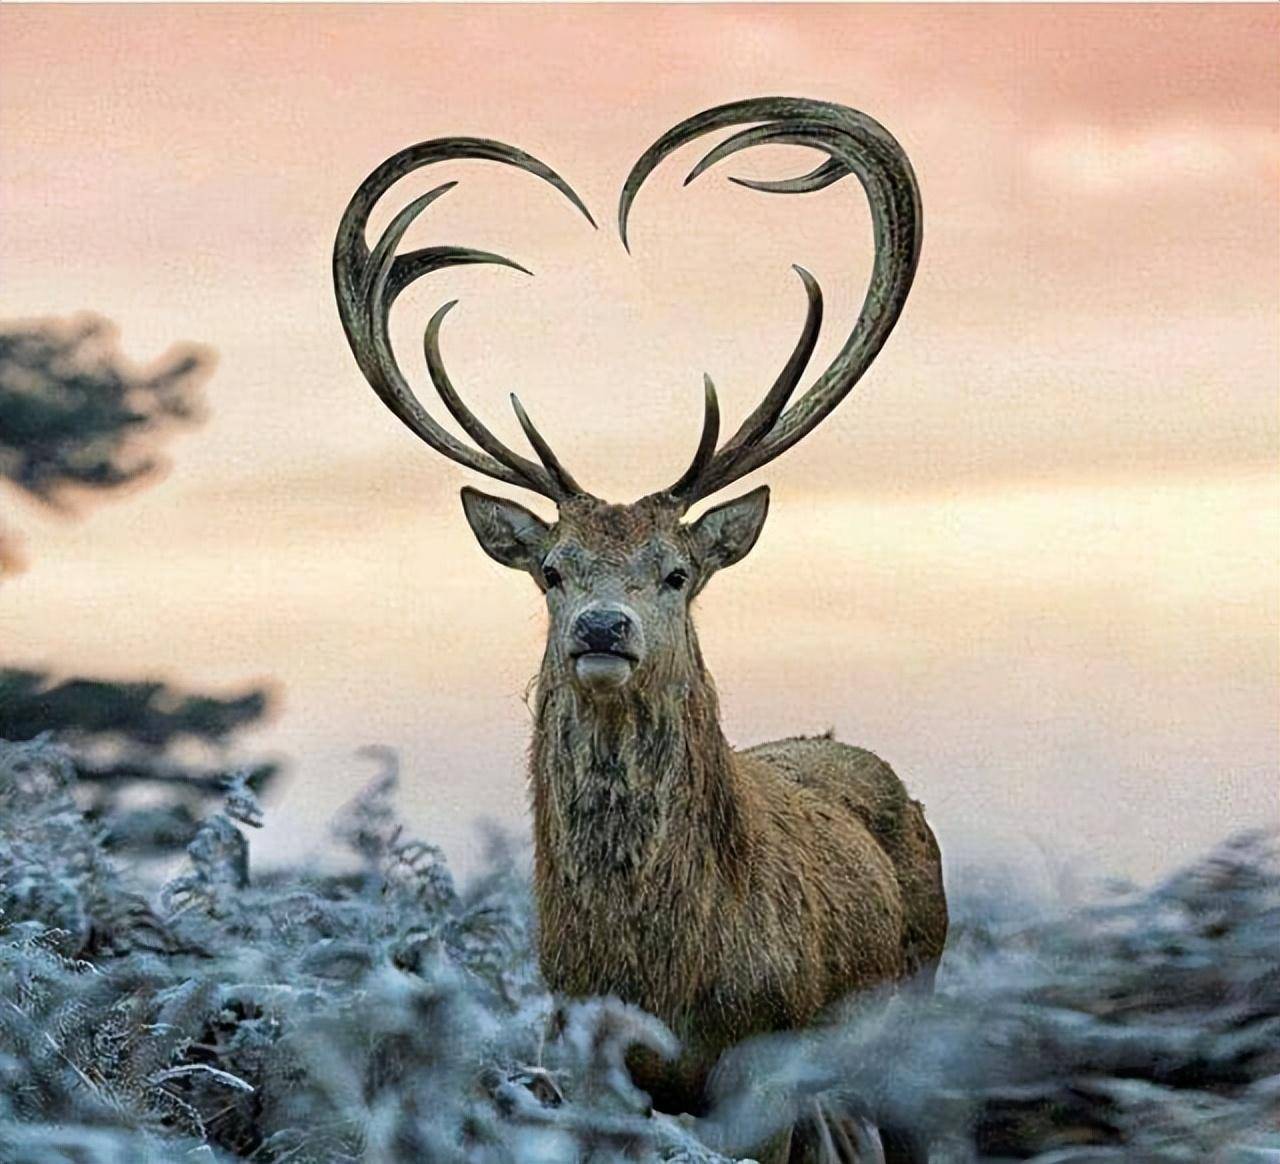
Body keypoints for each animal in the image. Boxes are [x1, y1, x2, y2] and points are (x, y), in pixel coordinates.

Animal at [335, 95, 947, 1157]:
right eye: (551, 571)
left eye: (678, 572)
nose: (602, 628)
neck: (662, 979)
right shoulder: (582, 1063)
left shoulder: (765, 1069)